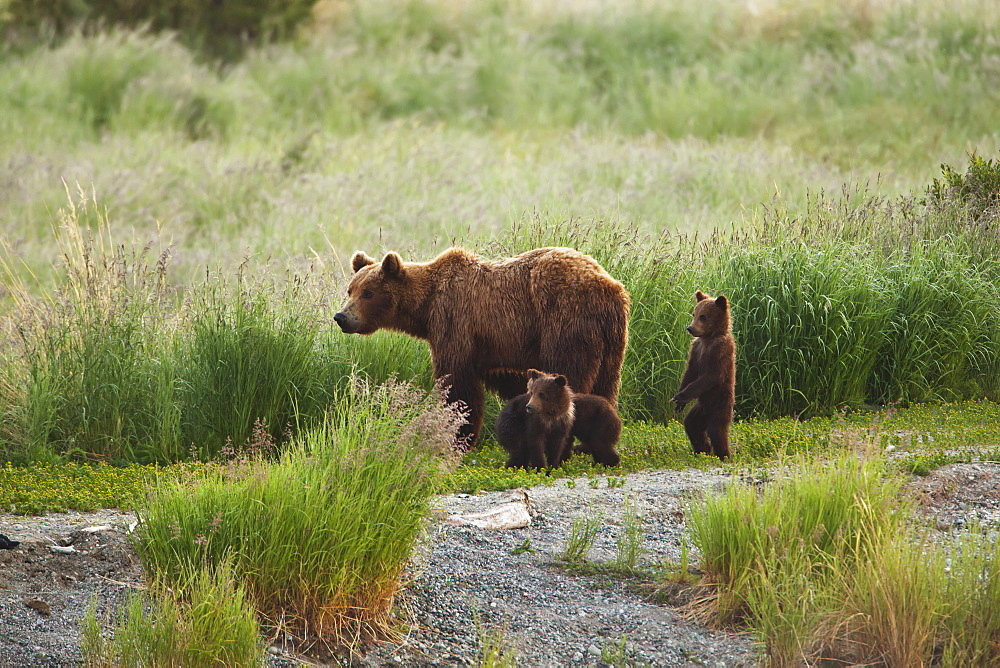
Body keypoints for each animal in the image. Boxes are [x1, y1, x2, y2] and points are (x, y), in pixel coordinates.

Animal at [336, 247, 632, 448]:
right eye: (350, 290)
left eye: (368, 293)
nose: (341, 317)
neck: (425, 308)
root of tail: (607, 286)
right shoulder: (495, 346)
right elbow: (509, 378)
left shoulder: (454, 323)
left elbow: (458, 384)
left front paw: (458, 435)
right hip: (612, 340)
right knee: (607, 384)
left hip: (565, 322)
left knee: (569, 372)